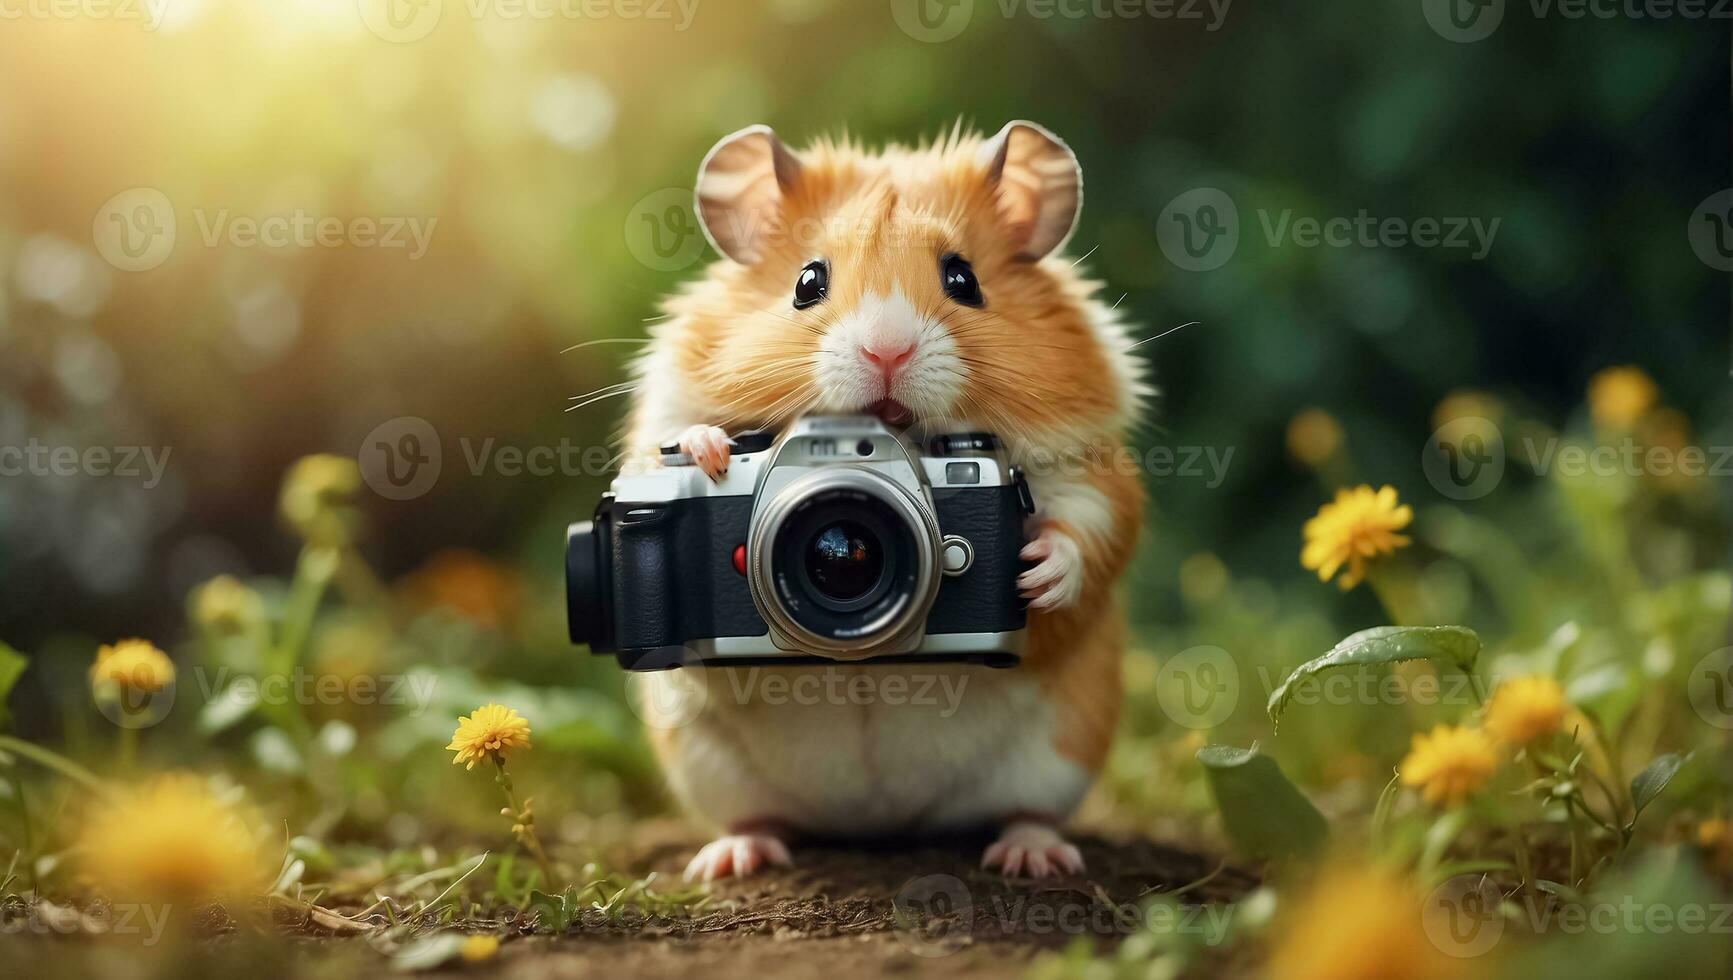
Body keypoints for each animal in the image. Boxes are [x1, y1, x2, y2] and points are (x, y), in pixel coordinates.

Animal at [627, 120, 1150, 877]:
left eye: (963, 279)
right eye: (806, 282)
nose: (887, 351)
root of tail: (881, 823)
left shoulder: (1093, 465)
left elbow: (1090, 523)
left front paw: (1037, 573)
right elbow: (672, 437)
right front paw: (706, 451)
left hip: (1061, 755)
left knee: (1030, 812)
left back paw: (1030, 858)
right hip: (707, 767)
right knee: (754, 818)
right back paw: (733, 859)